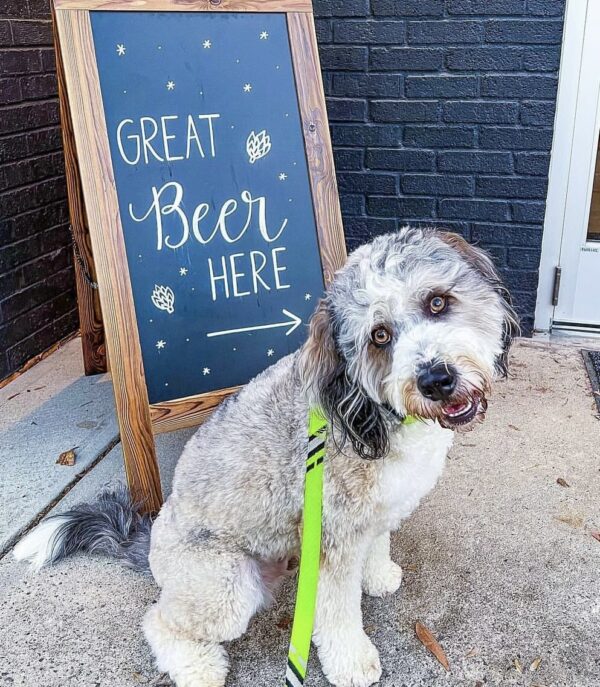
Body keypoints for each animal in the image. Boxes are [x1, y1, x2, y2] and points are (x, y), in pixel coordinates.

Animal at [15, 228, 517, 687]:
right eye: (379, 336)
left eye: (437, 303)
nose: (436, 379)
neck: (367, 408)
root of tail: (151, 538)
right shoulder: (334, 538)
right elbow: (337, 613)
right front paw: (352, 663)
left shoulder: (375, 514)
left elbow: (378, 545)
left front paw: (378, 577)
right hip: (225, 588)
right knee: (159, 620)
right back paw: (199, 669)